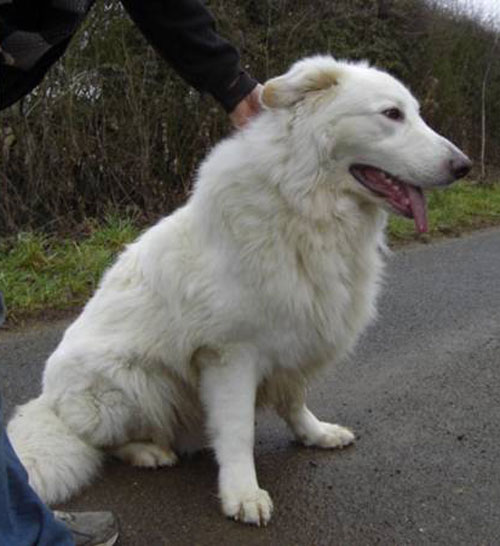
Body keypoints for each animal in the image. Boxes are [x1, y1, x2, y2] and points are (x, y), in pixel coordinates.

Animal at [7, 54, 470, 524]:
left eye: (416, 113)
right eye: (391, 114)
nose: (463, 166)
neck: (304, 204)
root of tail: (49, 403)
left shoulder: (298, 333)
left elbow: (294, 399)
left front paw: (314, 434)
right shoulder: (229, 355)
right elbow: (237, 431)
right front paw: (242, 493)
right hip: (134, 383)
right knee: (104, 441)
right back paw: (148, 452)